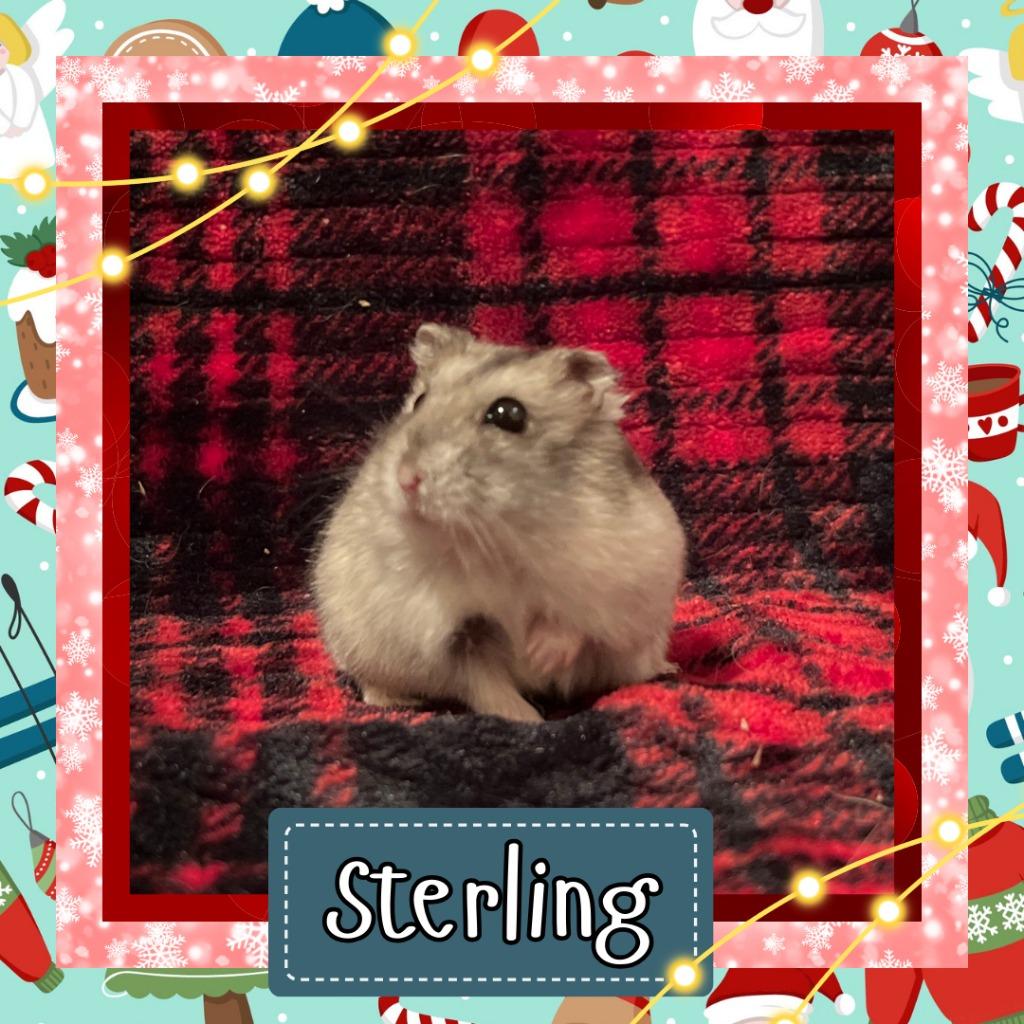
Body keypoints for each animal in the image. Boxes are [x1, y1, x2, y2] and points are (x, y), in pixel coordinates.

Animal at [312, 323, 686, 724]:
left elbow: (572, 627)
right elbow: (485, 683)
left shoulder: (615, 586)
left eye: (509, 414)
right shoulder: (454, 633)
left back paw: (669, 668)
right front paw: (528, 718)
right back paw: (392, 701)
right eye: (419, 400)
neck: (498, 537)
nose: (406, 479)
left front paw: (541, 656)